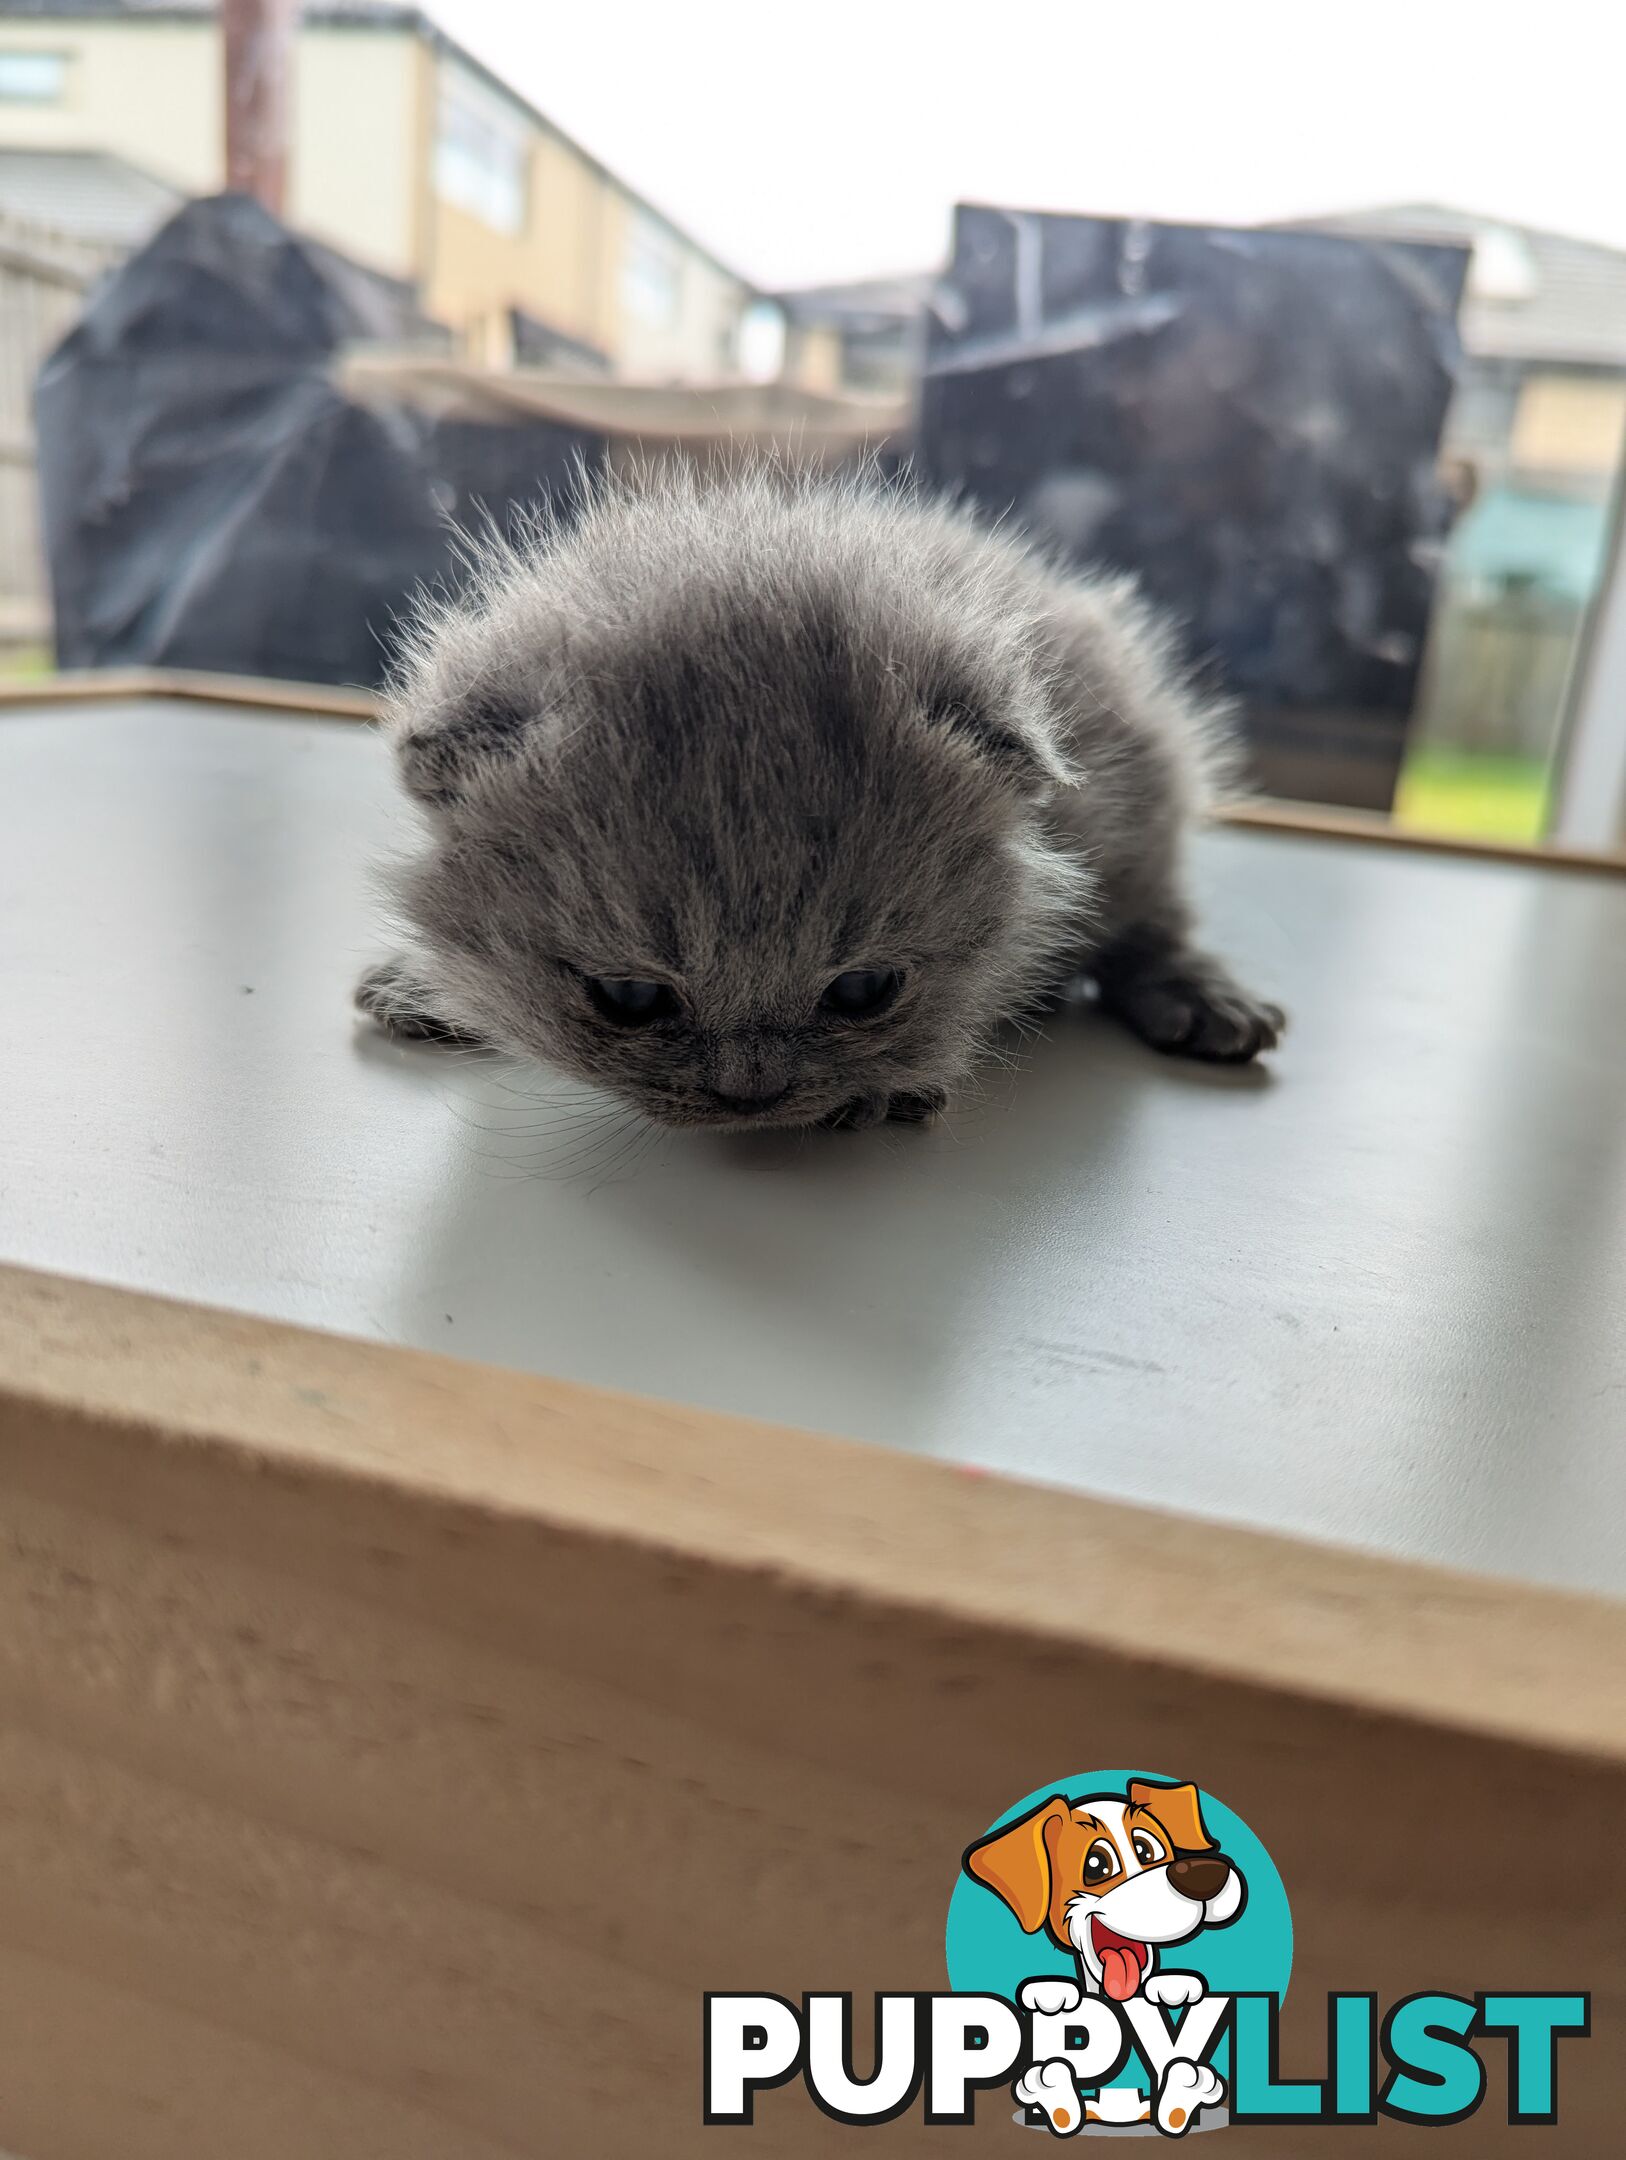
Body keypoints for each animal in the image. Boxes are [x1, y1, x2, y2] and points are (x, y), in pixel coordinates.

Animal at [354, 462, 1278, 1123]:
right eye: (629, 999)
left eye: (864, 992)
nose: (750, 1096)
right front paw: (424, 983)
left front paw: (885, 1088)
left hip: (1145, 801)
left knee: (1152, 924)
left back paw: (1202, 999)